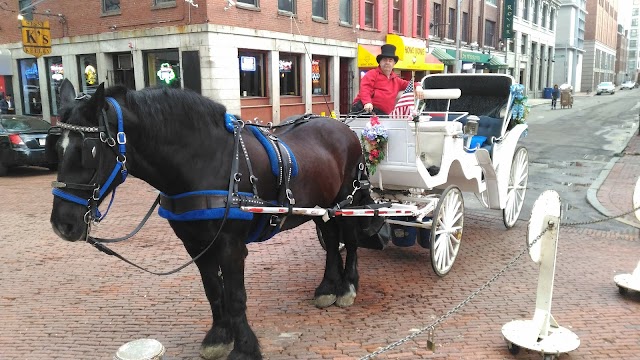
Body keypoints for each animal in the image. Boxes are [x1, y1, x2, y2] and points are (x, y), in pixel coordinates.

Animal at [51, 80, 380, 358]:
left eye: (88, 151)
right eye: (57, 148)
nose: (61, 224)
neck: (202, 161)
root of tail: (343, 127)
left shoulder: (230, 245)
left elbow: (235, 296)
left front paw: (245, 347)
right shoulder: (195, 243)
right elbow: (212, 290)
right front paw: (219, 337)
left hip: (347, 201)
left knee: (350, 240)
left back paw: (347, 287)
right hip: (321, 207)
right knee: (332, 239)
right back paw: (328, 287)